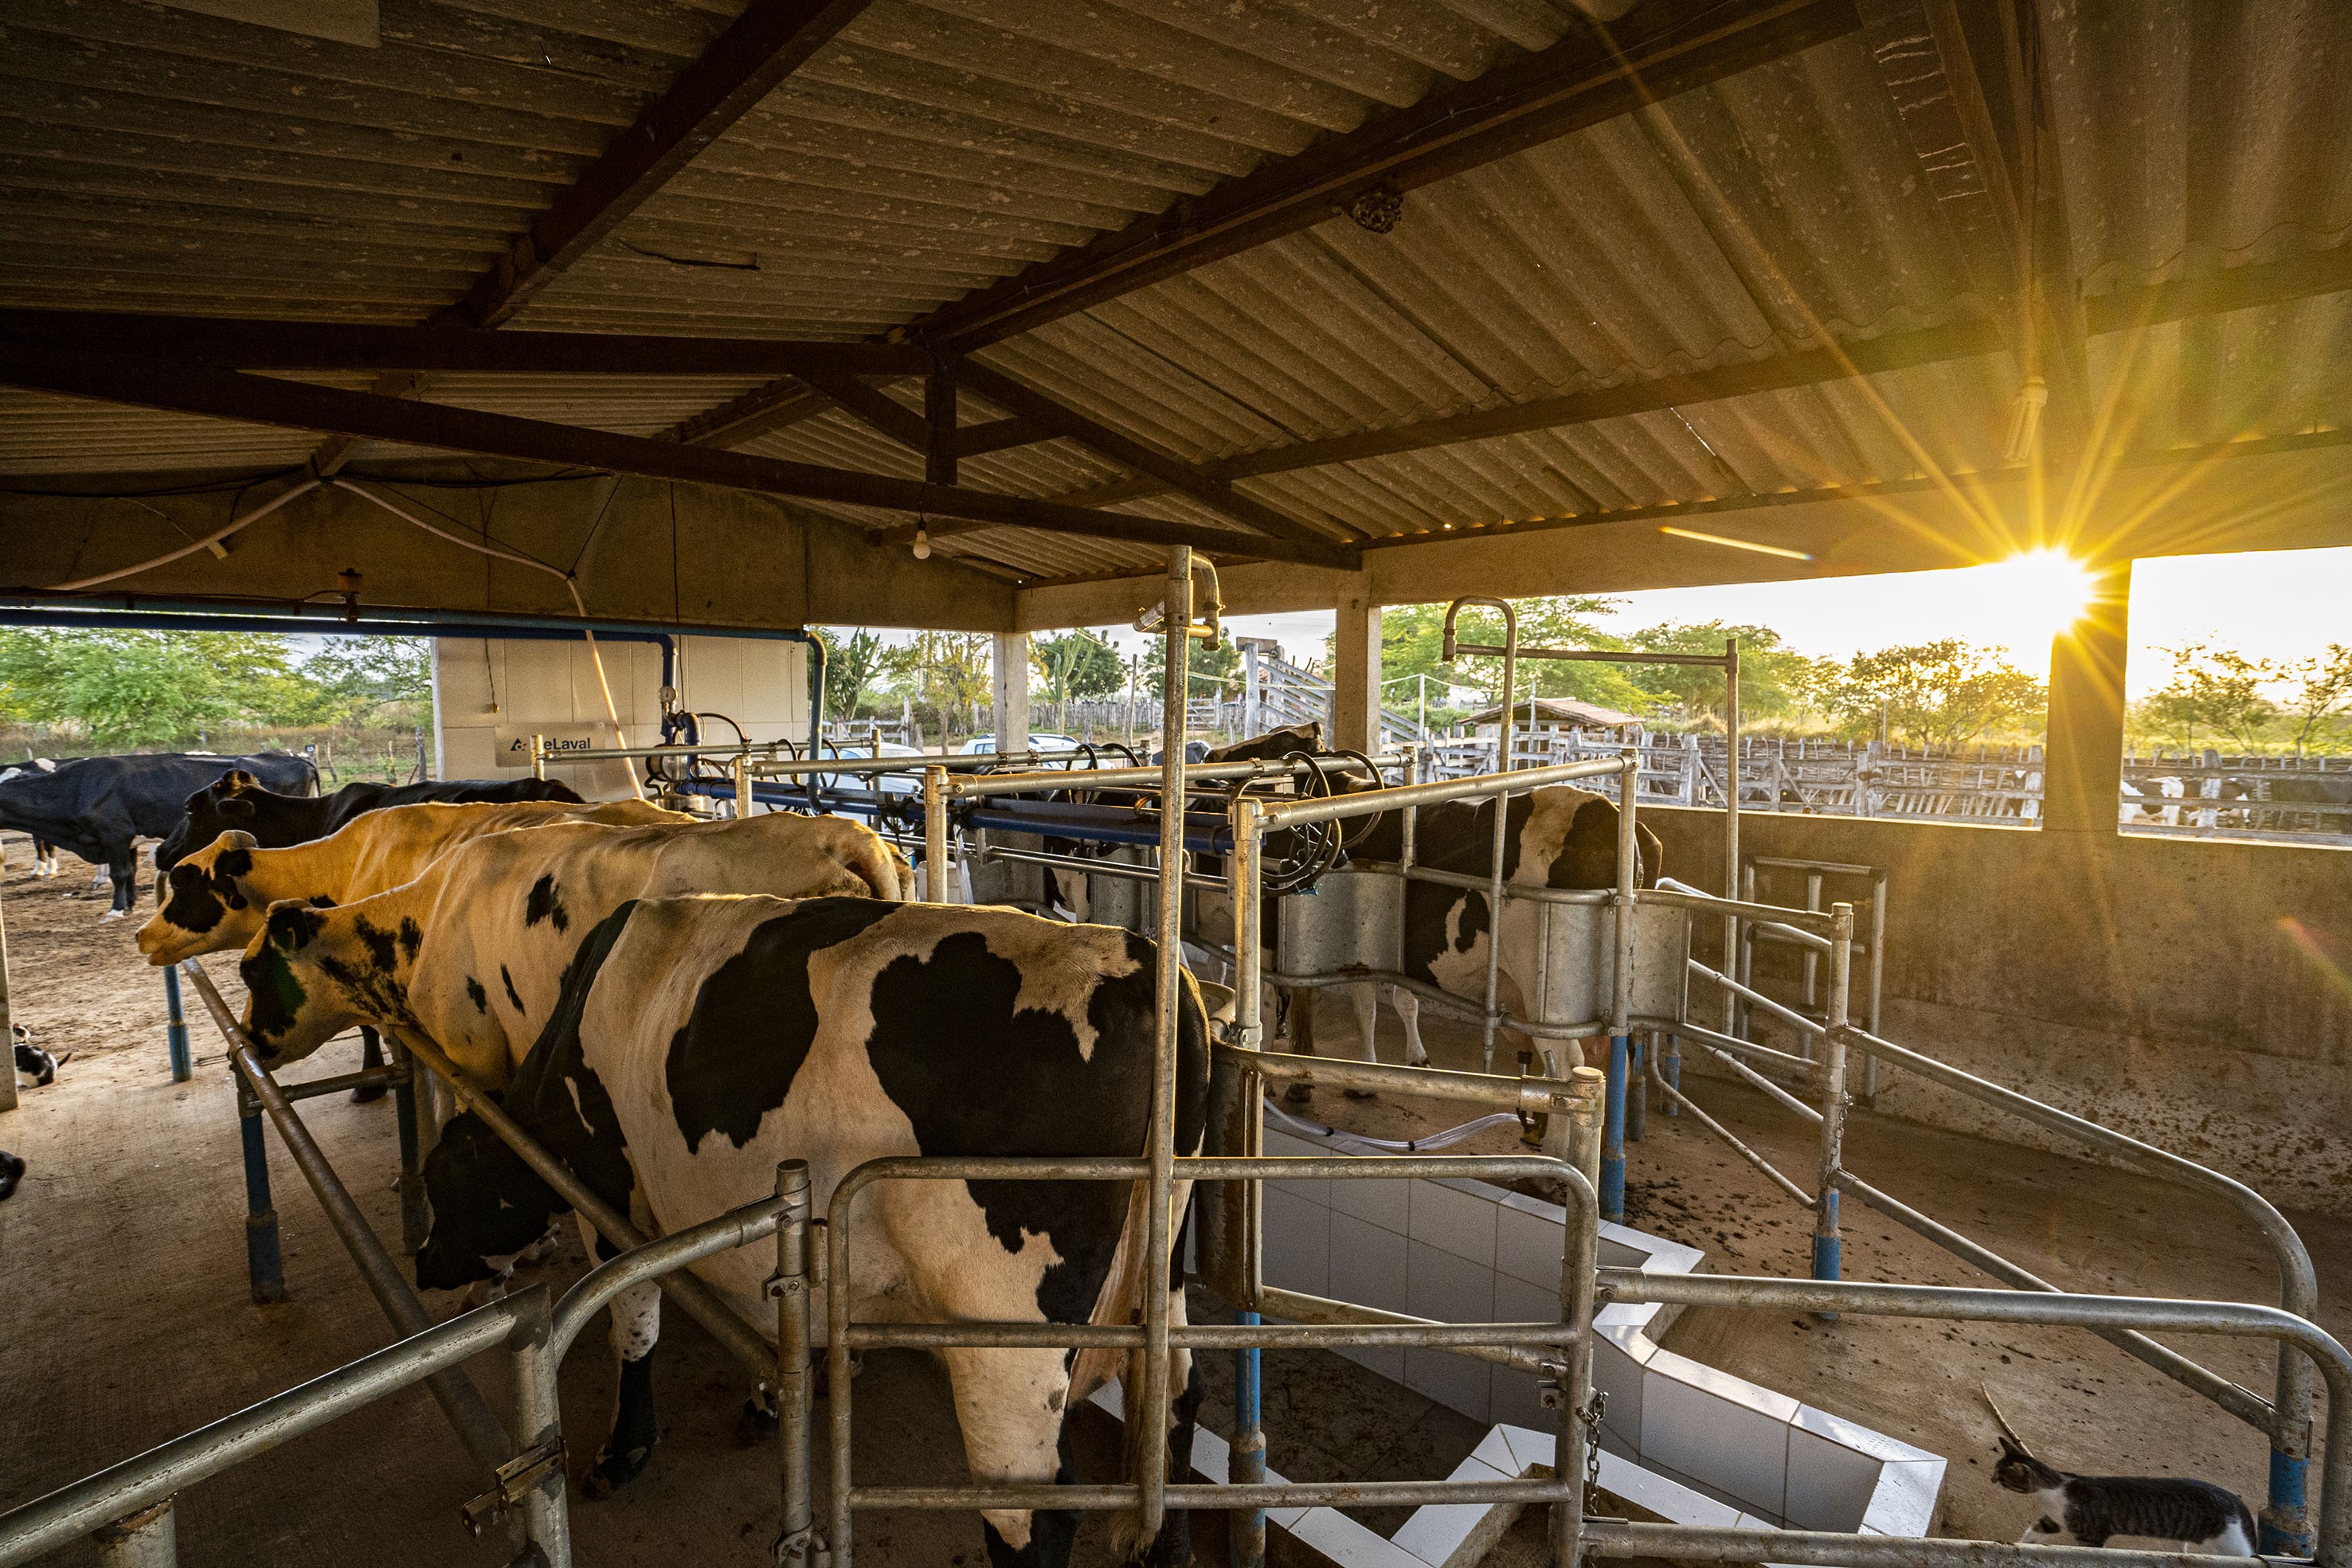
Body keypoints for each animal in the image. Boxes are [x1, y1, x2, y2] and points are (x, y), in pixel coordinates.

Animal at [0, 752, 317, 912]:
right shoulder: (123, 838)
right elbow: (128, 872)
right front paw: (129, 902)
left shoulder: (114, 833)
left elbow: (120, 873)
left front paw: (117, 908)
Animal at [1985, 1438, 2257, 1561]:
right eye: (1995, 1470)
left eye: (2001, 1476)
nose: (1990, 1479)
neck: (2054, 1488)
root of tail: (2237, 1503)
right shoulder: (2055, 1520)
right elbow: (2034, 1532)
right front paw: (2022, 1546)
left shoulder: (2091, 1535)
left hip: (2231, 1544)